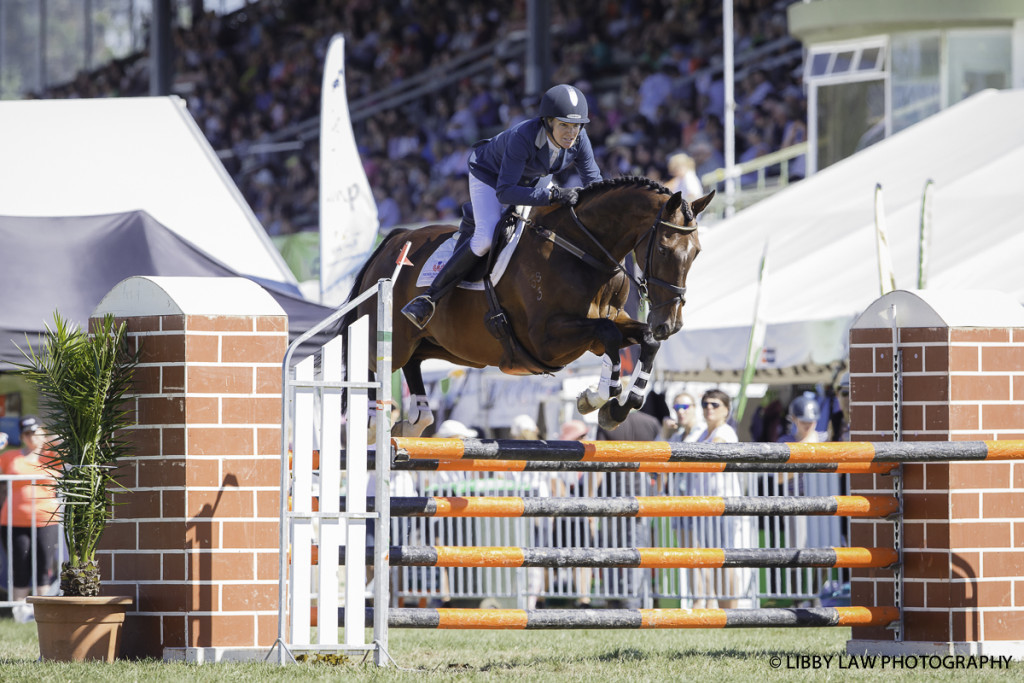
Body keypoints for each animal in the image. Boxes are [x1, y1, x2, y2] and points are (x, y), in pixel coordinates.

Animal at [339, 176, 716, 432]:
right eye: (664, 249)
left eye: (697, 252)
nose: (671, 324)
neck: (584, 249)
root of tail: (394, 240)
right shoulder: (546, 340)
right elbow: (607, 334)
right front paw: (598, 397)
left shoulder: (606, 325)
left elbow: (643, 341)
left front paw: (620, 405)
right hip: (391, 339)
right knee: (372, 367)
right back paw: (371, 424)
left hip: (442, 346)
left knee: (414, 363)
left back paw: (416, 419)